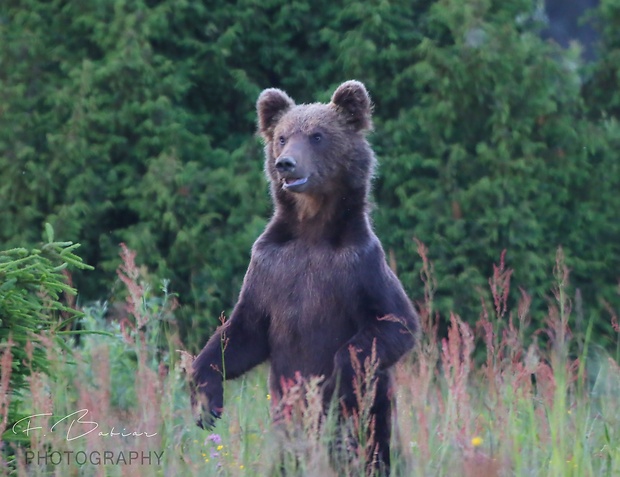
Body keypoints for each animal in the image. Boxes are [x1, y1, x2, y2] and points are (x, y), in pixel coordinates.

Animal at [191, 80, 418, 474]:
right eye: (282, 136)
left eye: (317, 135)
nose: (285, 163)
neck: (312, 230)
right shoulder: (271, 268)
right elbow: (241, 333)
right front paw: (206, 401)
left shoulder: (360, 267)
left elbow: (393, 323)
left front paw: (330, 383)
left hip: (377, 408)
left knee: (376, 448)